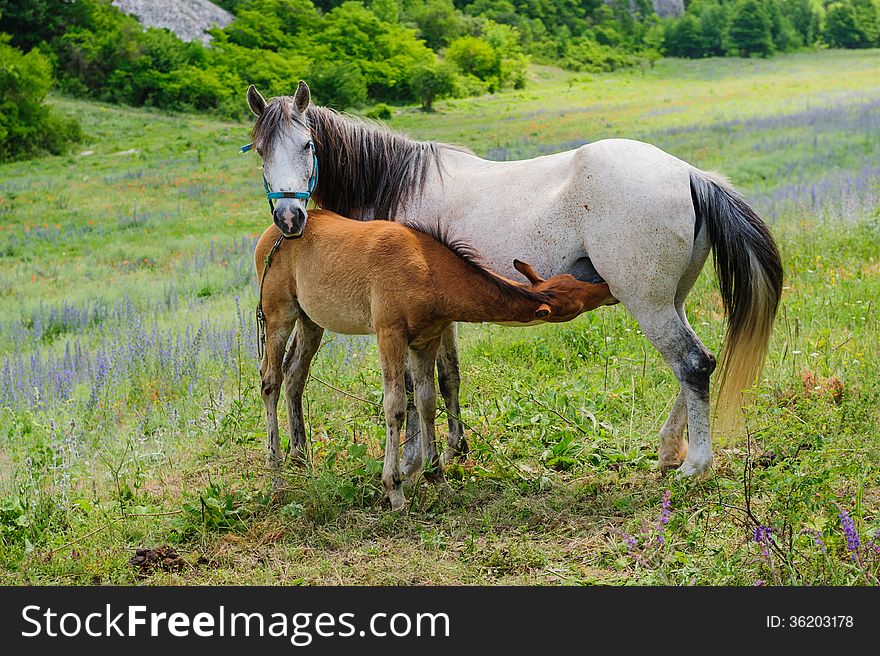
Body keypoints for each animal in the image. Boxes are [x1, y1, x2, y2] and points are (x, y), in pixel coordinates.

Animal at [242, 82, 784, 480]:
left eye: (308, 145)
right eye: (261, 151)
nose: (289, 218)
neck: (399, 182)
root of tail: (690, 173)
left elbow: (418, 388)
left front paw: (417, 462)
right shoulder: (438, 316)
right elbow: (446, 379)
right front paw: (452, 452)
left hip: (647, 303)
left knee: (691, 364)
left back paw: (694, 465)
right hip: (671, 299)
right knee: (695, 365)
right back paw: (670, 450)